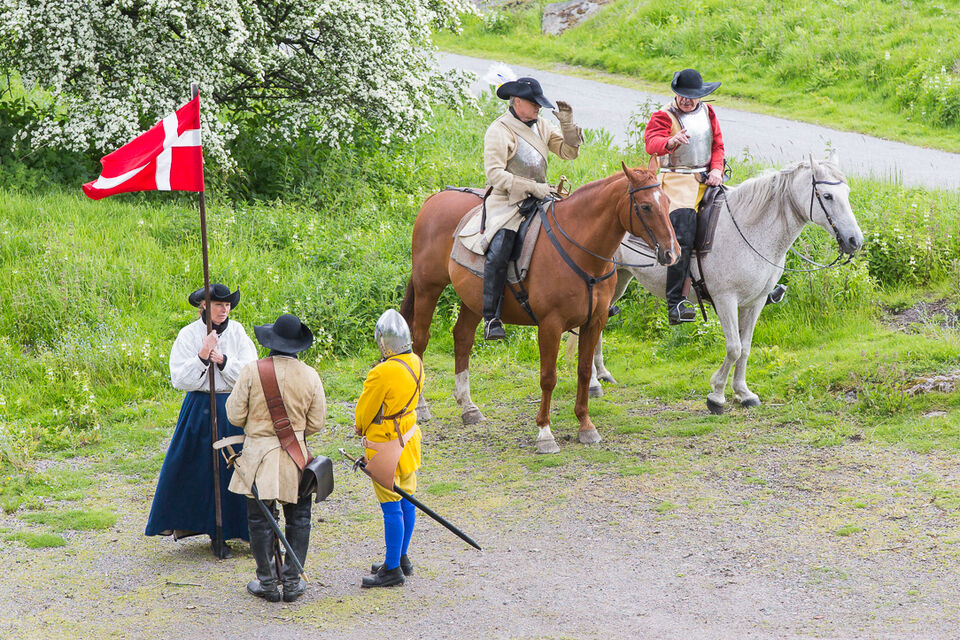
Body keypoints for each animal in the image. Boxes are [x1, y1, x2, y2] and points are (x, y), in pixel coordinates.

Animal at [400, 163, 680, 454]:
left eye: (667, 201)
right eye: (645, 206)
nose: (672, 253)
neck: (581, 251)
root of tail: (436, 198)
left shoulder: (594, 321)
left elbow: (583, 371)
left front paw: (585, 425)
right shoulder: (550, 325)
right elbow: (548, 377)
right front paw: (545, 433)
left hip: (473, 300)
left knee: (463, 338)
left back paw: (468, 407)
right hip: (428, 288)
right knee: (420, 340)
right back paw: (421, 407)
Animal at [589, 154, 864, 413]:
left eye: (847, 193)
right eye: (827, 195)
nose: (855, 240)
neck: (749, 229)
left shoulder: (755, 302)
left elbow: (746, 347)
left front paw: (743, 392)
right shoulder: (725, 300)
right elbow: (734, 347)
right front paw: (717, 394)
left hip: (620, 280)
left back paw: (602, 374)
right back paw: (592, 383)